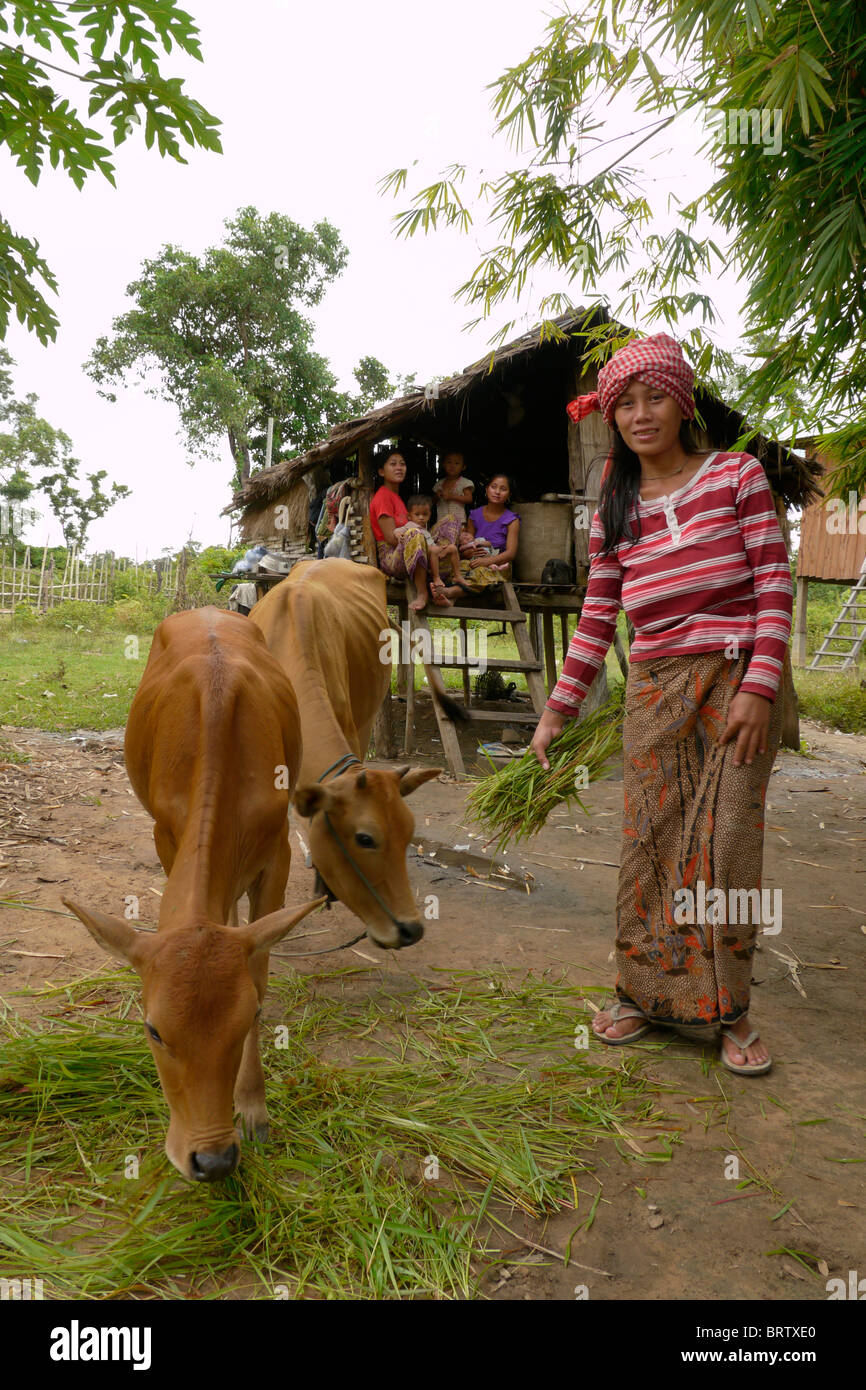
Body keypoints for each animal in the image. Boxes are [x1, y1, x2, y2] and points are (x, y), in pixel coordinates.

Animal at [62, 611, 323, 1184]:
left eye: (246, 1020)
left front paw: (253, 1106)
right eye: (153, 1030)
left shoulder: (278, 853)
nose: (213, 1160)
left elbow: (259, 971)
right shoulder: (165, 835)